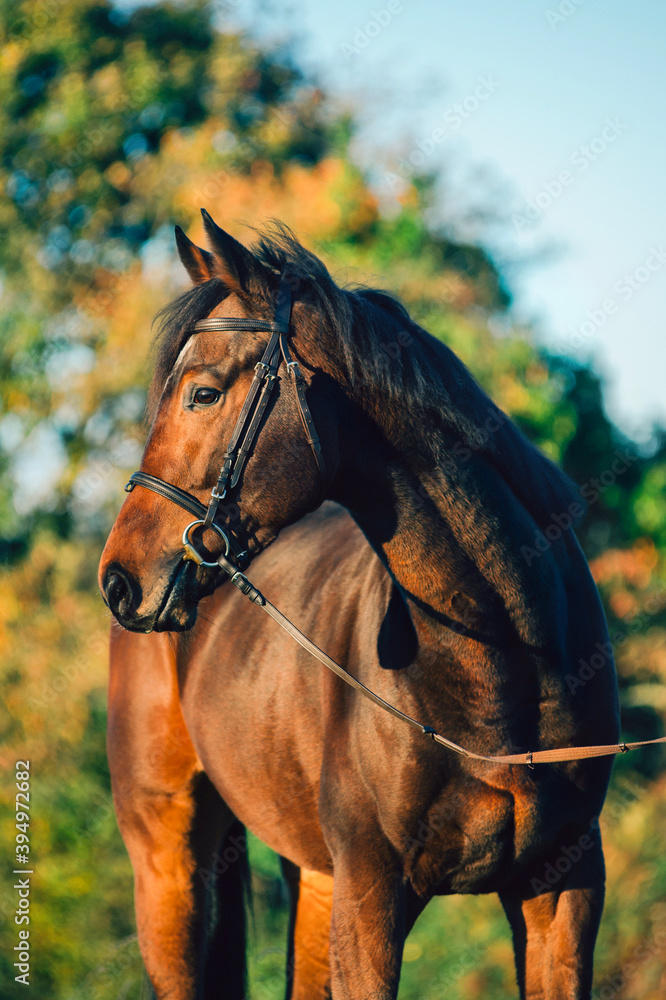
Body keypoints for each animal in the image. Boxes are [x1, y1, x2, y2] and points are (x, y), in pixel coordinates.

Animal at [99, 211, 620, 1000]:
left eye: (203, 394)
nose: (120, 580)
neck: (503, 666)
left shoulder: (564, 887)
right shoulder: (372, 895)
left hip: (313, 879)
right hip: (168, 861)